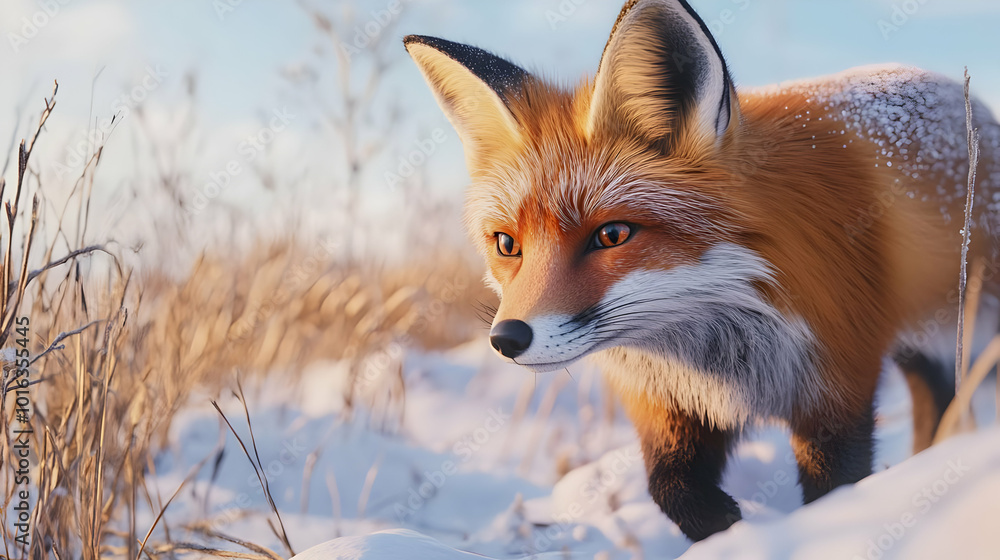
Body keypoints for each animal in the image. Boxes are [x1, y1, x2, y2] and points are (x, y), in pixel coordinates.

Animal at [405, 0, 1000, 542]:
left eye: (612, 235)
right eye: (508, 245)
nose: (507, 338)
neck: (716, 347)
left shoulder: (837, 383)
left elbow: (836, 485)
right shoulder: (672, 408)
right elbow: (669, 489)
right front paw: (728, 528)